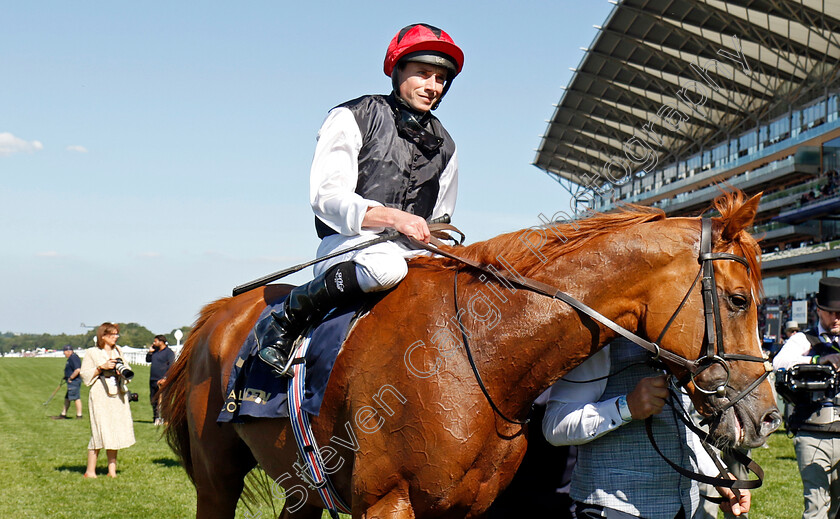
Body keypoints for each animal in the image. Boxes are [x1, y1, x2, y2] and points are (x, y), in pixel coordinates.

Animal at [162, 192, 780, 519]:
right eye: (739, 299)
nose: (768, 415)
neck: (474, 354)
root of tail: (215, 315)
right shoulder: (386, 503)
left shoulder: (469, 507)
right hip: (216, 478)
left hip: (299, 479)